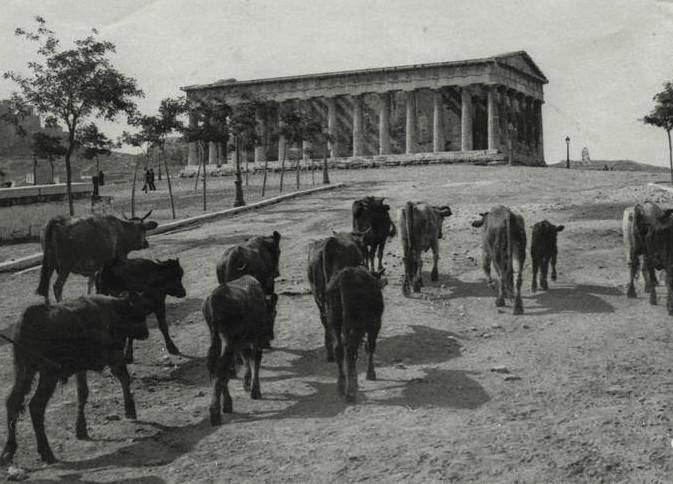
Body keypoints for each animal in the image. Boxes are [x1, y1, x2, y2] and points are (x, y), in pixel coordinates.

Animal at [0, 292, 155, 466]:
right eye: (140, 314)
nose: (146, 333)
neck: (114, 308)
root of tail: (32, 315)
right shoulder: (115, 355)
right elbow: (125, 378)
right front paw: (130, 410)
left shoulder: (81, 368)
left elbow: (82, 393)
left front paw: (81, 429)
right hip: (48, 373)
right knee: (36, 406)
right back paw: (46, 452)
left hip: (24, 369)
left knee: (12, 401)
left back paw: (8, 450)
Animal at [202, 274, 276, 426]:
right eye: (274, 313)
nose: (270, 336)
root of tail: (212, 300)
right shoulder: (256, 339)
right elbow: (255, 361)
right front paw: (255, 390)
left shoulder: (242, 342)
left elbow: (246, 358)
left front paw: (247, 382)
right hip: (229, 341)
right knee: (221, 368)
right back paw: (216, 412)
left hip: (218, 339)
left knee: (216, 368)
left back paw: (225, 404)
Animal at [324, 264, 386, 400]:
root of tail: (345, 275)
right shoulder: (375, 325)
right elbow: (370, 347)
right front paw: (370, 373)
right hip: (355, 324)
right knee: (350, 350)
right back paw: (351, 390)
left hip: (334, 320)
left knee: (339, 349)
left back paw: (341, 385)